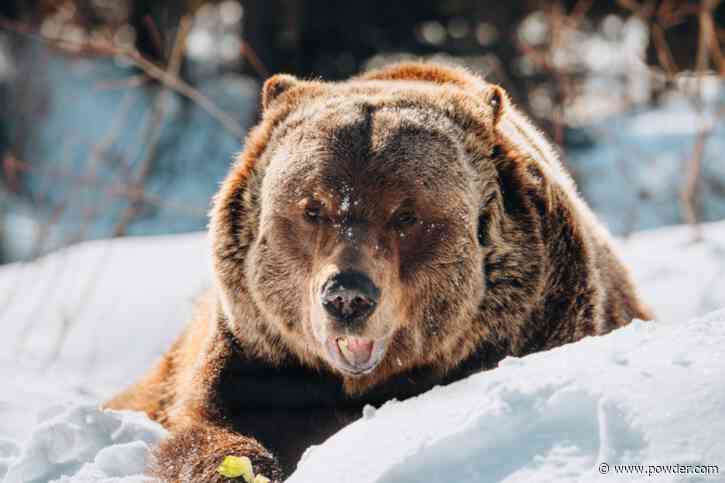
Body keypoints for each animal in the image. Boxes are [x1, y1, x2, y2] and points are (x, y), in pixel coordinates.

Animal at [105, 62, 653, 482]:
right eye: (313, 208)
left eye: (407, 215)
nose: (347, 295)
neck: (359, 386)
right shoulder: (258, 356)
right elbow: (210, 430)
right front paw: (244, 467)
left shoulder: (538, 321)